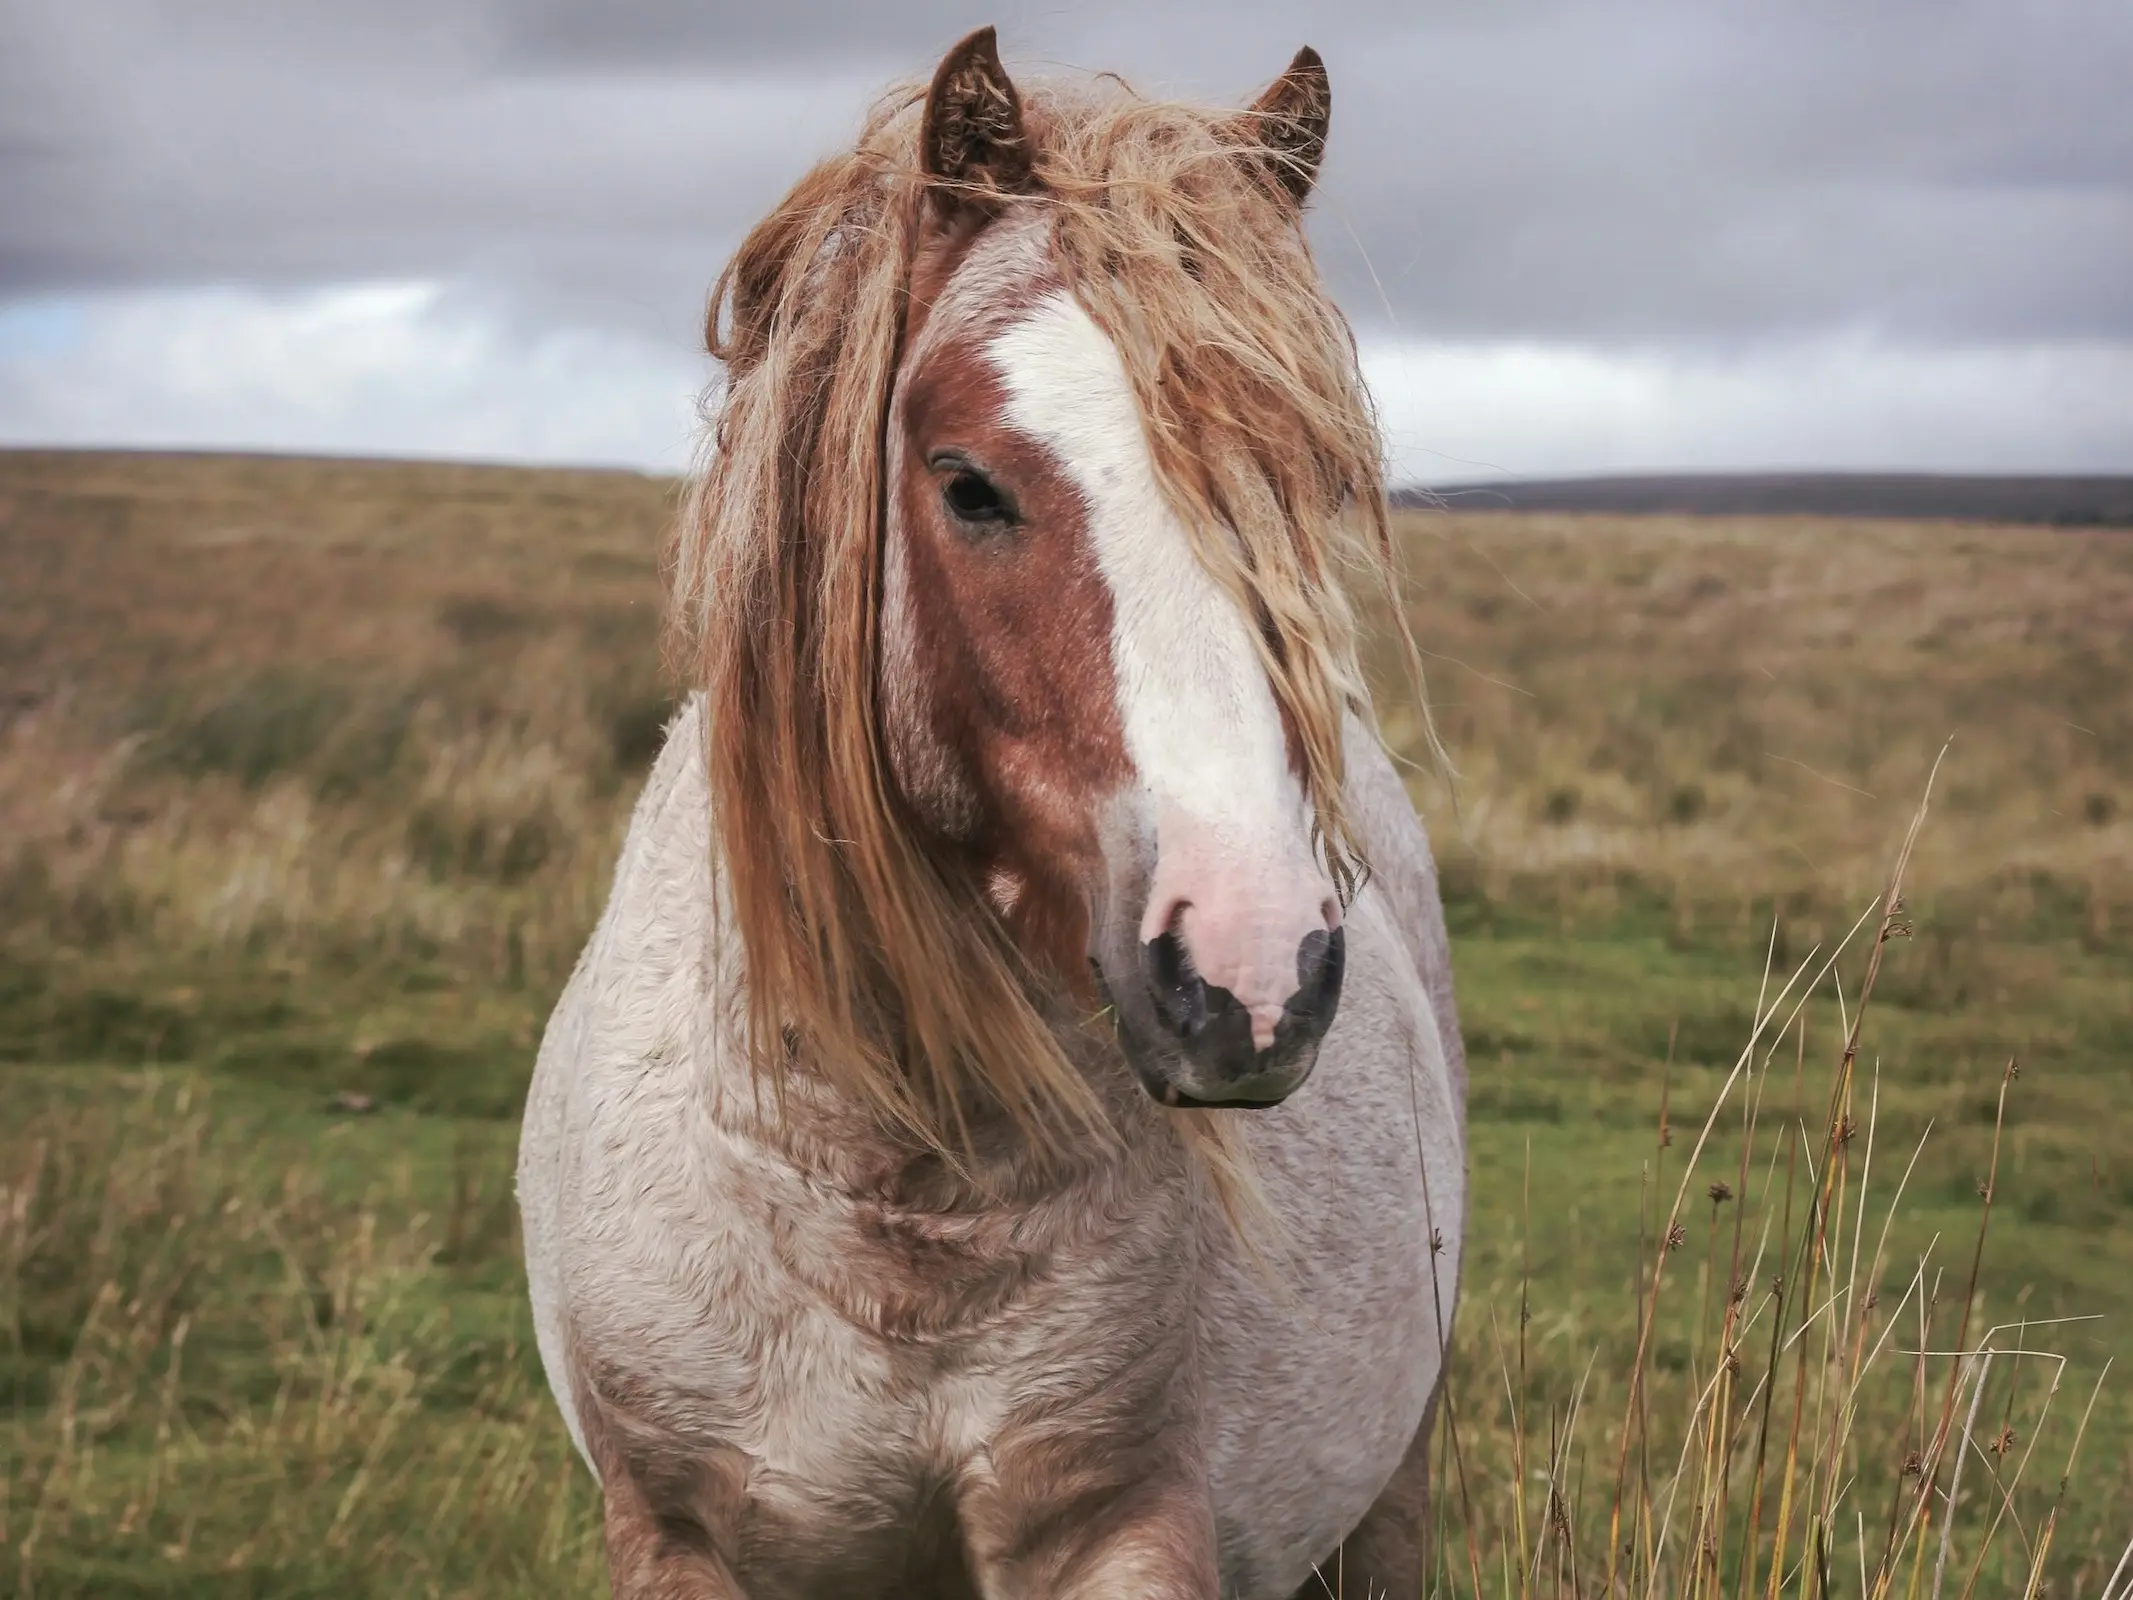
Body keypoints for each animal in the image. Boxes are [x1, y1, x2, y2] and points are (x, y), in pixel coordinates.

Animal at [520, 28, 1467, 1600]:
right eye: (968, 485)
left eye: (1314, 484)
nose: (1253, 974)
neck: (895, 1203)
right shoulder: (677, 1533)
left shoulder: (1114, 1526)